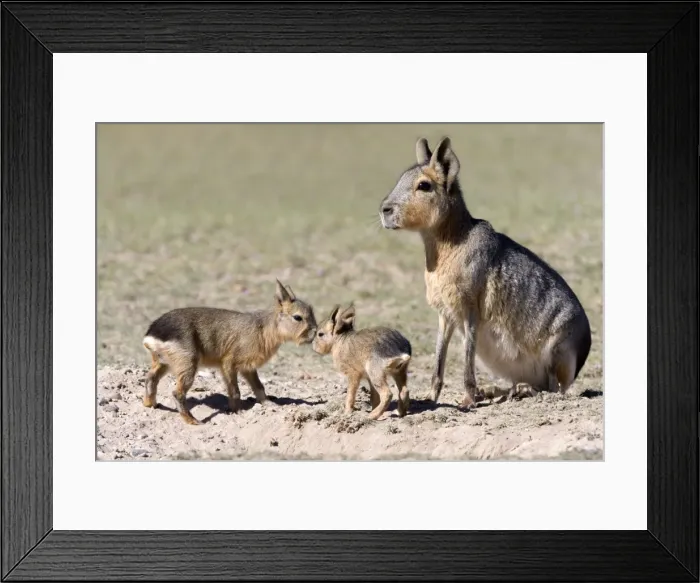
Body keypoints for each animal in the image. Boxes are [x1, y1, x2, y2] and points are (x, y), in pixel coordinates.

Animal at [142, 279, 317, 425]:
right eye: (298, 317)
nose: (315, 332)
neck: (263, 329)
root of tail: (153, 332)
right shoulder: (228, 363)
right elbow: (235, 391)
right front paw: (237, 412)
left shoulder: (248, 367)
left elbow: (259, 387)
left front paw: (270, 405)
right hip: (188, 364)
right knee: (177, 393)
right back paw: (192, 421)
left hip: (164, 362)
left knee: (150, 378)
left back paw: (150, 404)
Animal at [379, 136, 591, 410]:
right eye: (401, 178)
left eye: (424, 185)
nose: (384, 210)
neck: (449, 245)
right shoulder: (445, 313)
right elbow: (438, 360)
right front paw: (430, 399)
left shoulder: (470, 308)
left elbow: (467, 359)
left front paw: (468, 401)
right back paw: (495, 390)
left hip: (558, 351)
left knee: (553, 389)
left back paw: (516, 391)